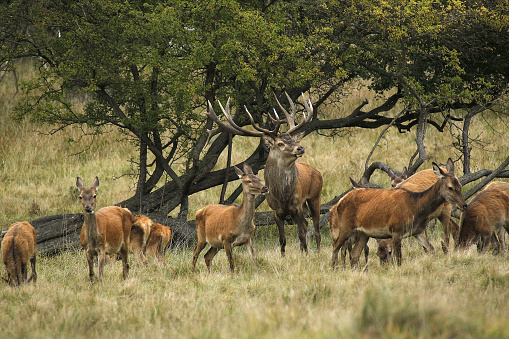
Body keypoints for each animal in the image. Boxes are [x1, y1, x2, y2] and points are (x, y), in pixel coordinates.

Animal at [203, 91, 320, 256]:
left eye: (292, 139)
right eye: (280, 143)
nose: (300, 148)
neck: (282, 195)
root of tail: (316, 171)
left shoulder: (296, 207)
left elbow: (302, 235)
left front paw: (305, 254)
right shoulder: (276, 211)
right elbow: (282, 240)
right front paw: (283, 256)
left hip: (315, 197)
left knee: (316, 229)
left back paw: (318, 250)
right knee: (307, 225)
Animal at [328, 159, 466, 268]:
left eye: (460, 185)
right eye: (450, 187)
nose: (464, 205)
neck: (416, 207)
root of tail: (339, 202)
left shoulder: (418, 231)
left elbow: (431, 249)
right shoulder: (396, 230)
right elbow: (399, 260)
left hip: (363, 233)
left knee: (354, 253)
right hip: (345, 227)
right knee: (335, 247)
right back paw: (334, 269)